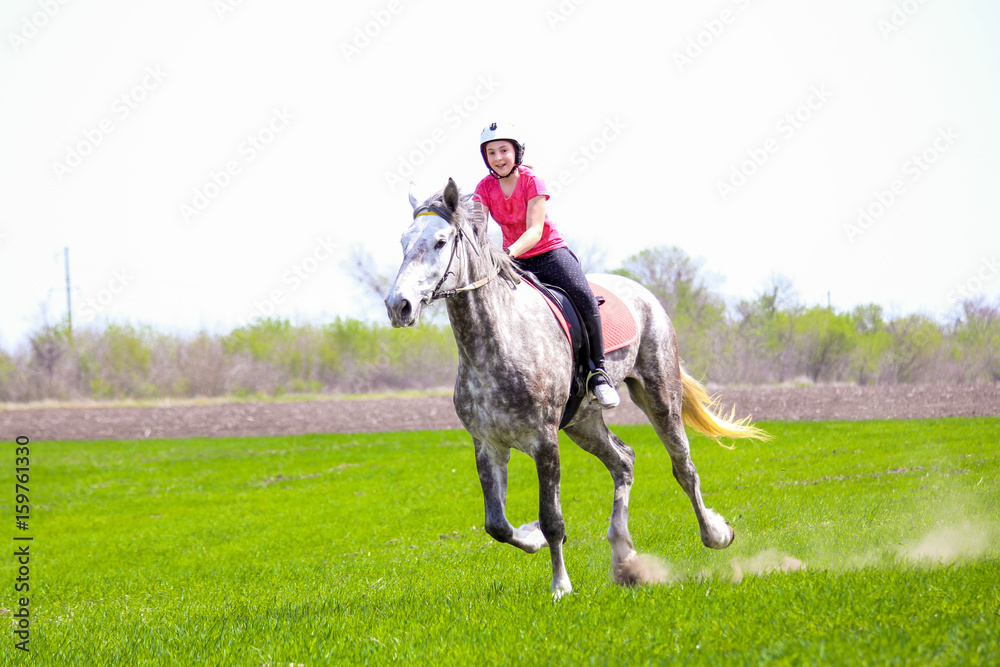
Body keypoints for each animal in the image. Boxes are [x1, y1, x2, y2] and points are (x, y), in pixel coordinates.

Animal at [384, 180, 764, 596]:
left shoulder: (544, 440)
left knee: (684, 468)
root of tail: (641, 291)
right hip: (583, 423)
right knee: (624, 460)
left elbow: (552, 519)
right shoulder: (488, 444)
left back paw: (716, 534)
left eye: (440, 241)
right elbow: (497, 525)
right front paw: (531, 536)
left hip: (660, 396)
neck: (495, 342)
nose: (397, 305)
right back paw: (624, 555)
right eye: (403, 241)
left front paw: (561, 586)